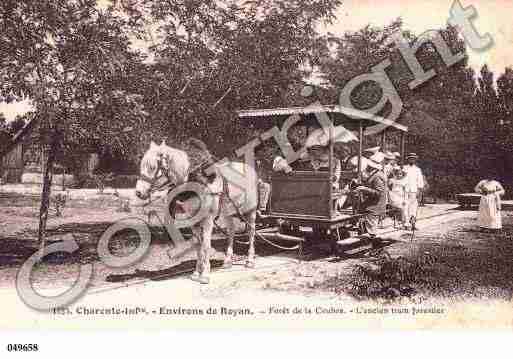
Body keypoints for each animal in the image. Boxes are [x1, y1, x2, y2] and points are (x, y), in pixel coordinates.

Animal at [135, 141, 258, 284]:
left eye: (152, 167)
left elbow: (205, 245)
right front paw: (196, 272)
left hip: (251, 210)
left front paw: (205, 274)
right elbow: (198, 246)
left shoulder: (208, 219)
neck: (196, 180)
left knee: (251, 232)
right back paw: (227, 261)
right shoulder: (193, 219)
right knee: (231, 231)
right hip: (228, 212)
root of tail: (251, 170)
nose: (138, 192)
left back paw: (250, 260)